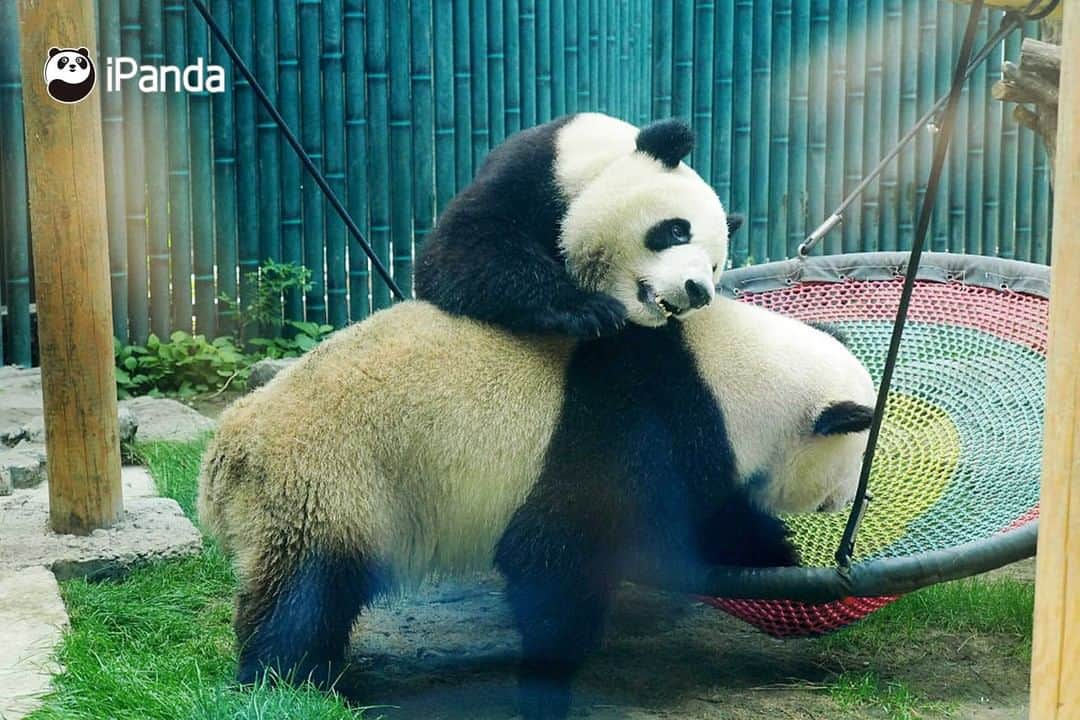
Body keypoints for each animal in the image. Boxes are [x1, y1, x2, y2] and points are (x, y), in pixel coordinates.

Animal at [414, 112, 743, 338]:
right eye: (678, 231)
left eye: (714, 266)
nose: (698, 292)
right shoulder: (532, 175)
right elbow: (469, 243)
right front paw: (589, 309)